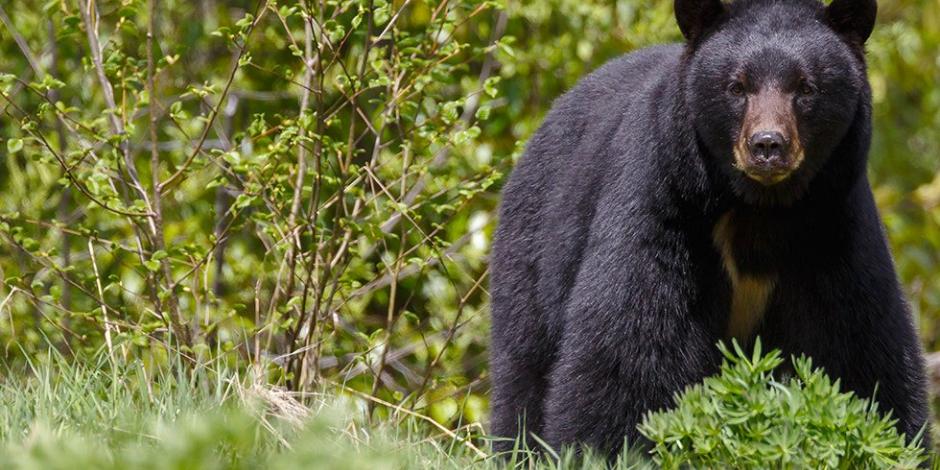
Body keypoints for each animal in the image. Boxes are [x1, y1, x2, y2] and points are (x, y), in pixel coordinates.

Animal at [488, 0, 928, 458]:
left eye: (806, 88)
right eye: (737, 87)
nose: (767, 145)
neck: (758, 209)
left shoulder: (832, 227)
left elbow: (858, 345)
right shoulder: (664, 204)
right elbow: (631, 343)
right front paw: (603, 449)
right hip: (535, 245)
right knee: (525, 364)